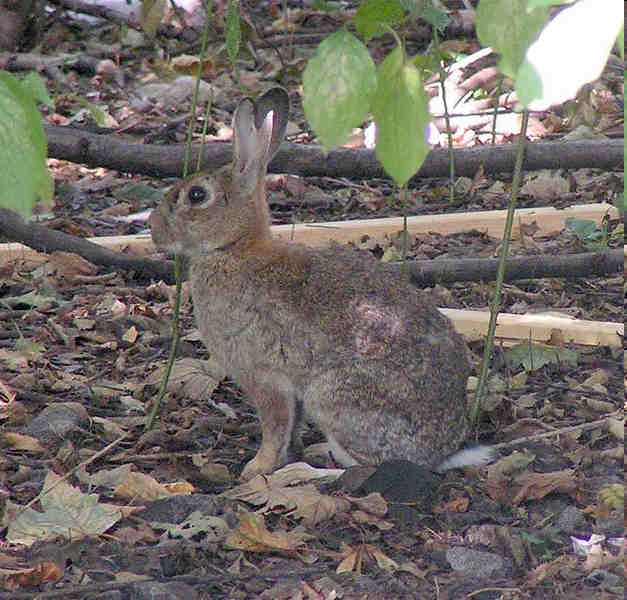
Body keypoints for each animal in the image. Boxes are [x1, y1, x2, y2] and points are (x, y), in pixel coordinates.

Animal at [150, 89, 494, 480]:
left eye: (196, 195)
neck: (234, 248)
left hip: (333, 398)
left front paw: (256, 469)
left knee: (364, 468)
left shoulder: (264, 375)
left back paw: (305, 472)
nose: (154, 230)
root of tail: (440, 453)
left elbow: (275, 426)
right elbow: (291, 427)